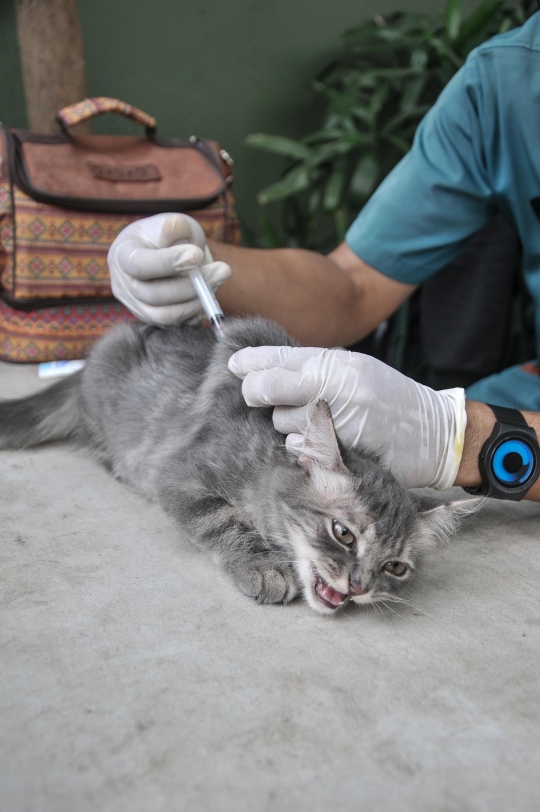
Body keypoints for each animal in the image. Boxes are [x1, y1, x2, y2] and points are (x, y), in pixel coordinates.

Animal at [0, 318, 474, 616]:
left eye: (395, 567)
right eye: (343, 534)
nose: (360, 586)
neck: (266, 456)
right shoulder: (180, 473)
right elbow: (222, 518)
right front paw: (263, 565)